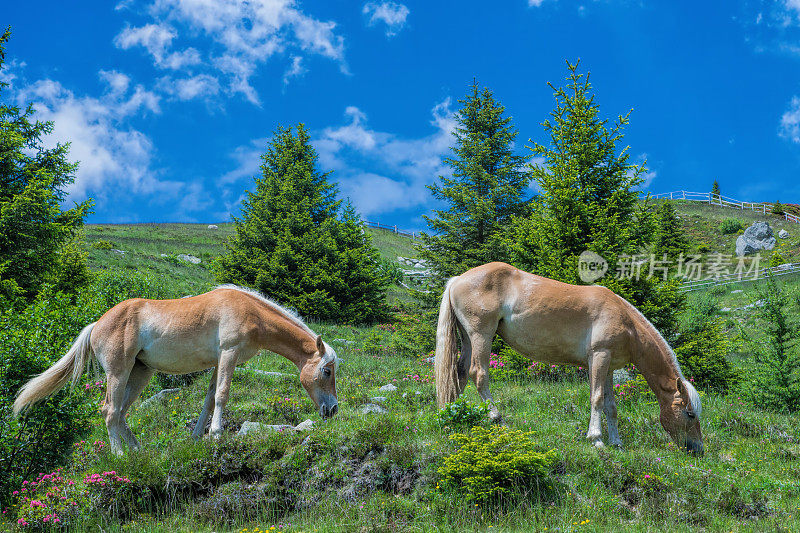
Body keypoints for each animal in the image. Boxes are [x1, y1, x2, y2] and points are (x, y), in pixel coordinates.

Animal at [13, 284, 338, 450]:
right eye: (326, 371)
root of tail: (97, 324)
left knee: (120, 413)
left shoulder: (219, 362)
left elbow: (209, 399)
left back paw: (138, 452)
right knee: (109, 411)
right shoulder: (229, 354)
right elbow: (222, 395)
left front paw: (197, 437)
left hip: (141, 373)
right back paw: (120, 457)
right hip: (118, 373)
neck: (250, 311)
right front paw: (216, 434)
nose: (333, 410)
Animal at [434, 262, 704, 454]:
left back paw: (452, 414)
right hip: (482, 335)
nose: (698, 450)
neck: (627, 324)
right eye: (690, 414)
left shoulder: (608, 366)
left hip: (469, 339)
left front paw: (616, 443)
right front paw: (596, 439)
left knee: (458, 374)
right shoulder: (599, 357)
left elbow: (611, 405)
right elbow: (596, 398)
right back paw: (497, 418)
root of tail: (458, 280)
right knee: (478, 374)